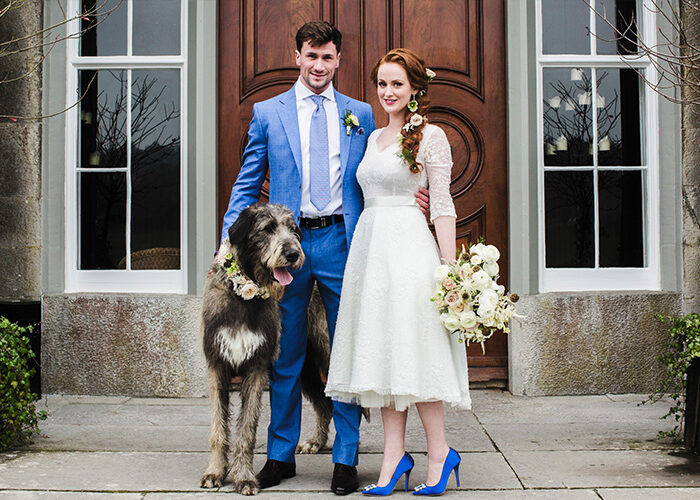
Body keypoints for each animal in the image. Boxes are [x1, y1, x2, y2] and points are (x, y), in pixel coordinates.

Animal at [198, 202, 338, 492]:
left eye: (294, 230)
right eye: (268, 229)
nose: (294, 254)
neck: (243, 299)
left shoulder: (256, 367)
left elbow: (247, 430)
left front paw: (244, 477)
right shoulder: (216, 364)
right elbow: (218, 426)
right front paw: (215, 472)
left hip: (328, 353)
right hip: (305, 367)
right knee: (324, 404)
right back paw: (316, 442)